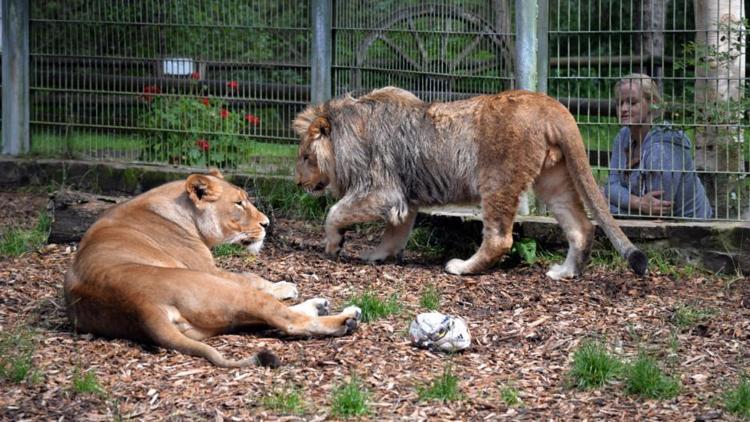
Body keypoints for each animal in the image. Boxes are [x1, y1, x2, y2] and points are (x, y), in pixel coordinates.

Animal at [64, 170, 364, 368]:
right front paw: (284, 285)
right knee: (285, 320)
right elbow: (251, 276)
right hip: (219, 289)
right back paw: (345, 319)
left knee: (265, 319)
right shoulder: (207, 268)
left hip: (210, 321)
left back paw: (319, 305)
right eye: (239, 202)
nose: (267, 224)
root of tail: (140, 306)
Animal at [292, 88, 648, 280]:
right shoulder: (404, 197)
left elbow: (335, 212)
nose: (297, 182)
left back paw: (462, 267)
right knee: (582, 227)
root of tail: (551, 105)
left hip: (496, 180)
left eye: (306, 157)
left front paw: (334, 244)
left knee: (499, 239)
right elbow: (395, 233)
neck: (348, 129)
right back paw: (565, 272)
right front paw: (376, 255)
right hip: (553, 180)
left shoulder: (381, 189)